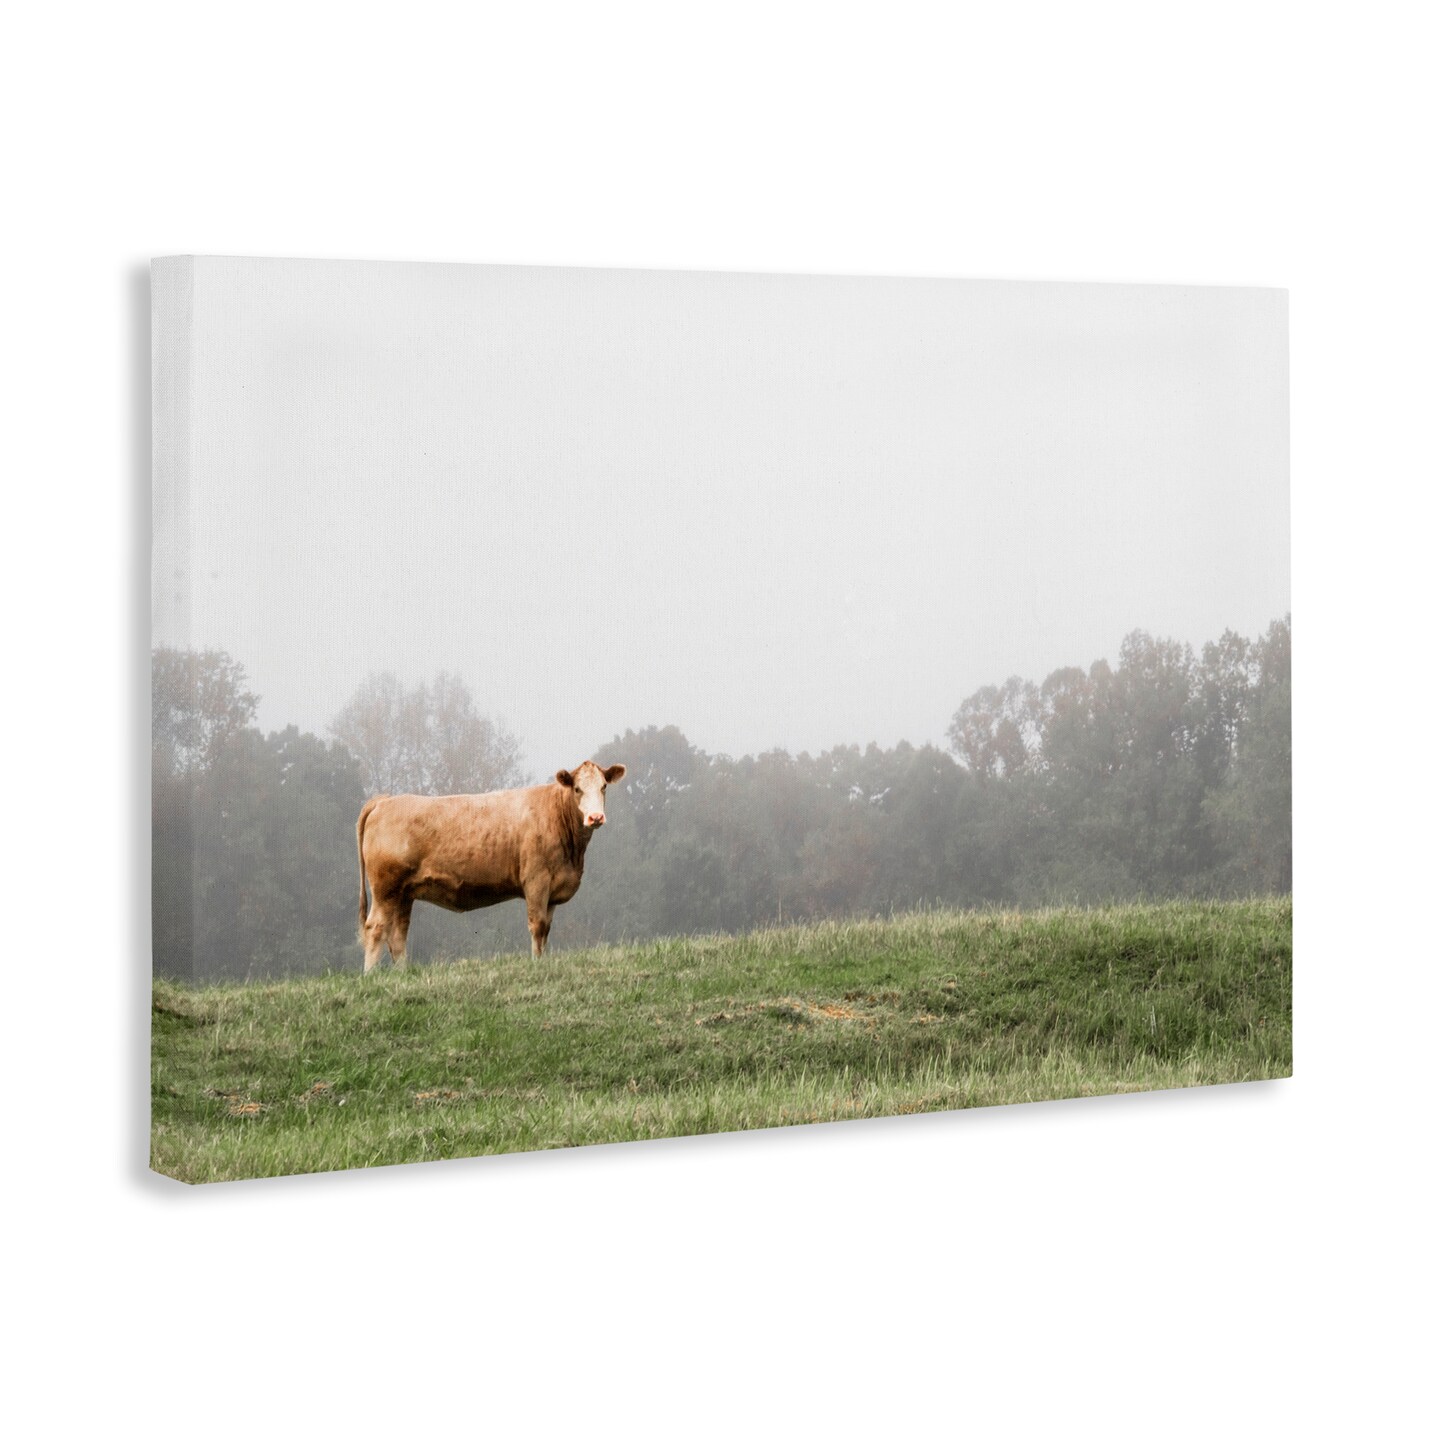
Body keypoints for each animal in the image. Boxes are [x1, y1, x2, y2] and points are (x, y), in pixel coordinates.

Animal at [355, 760, 627, 971]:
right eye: (578, 789)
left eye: (603, 787)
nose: (595, 817)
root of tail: (385, 800)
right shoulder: (536, 880)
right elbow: (538, 926)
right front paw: (536, 965)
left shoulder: (552, 889)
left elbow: (547, 929)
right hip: (385, 887)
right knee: (376, 928)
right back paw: (370, 976)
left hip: (404, 893)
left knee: (398, 934)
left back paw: (402, 974)